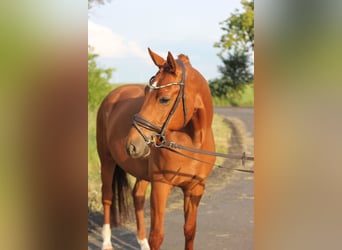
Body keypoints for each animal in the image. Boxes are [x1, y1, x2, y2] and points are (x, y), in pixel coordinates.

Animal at [96, 47, 215, 249]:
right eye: (145, 92)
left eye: (164, 99)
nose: (132, 145)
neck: (192, 142)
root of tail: (113, 95)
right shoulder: (161, 186)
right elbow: (157, 236)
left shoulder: (195, 188)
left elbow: (190, 230)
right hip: (106, 161)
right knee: (107, 197)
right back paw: (106, 243)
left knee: (137, 197)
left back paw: (142, 242)